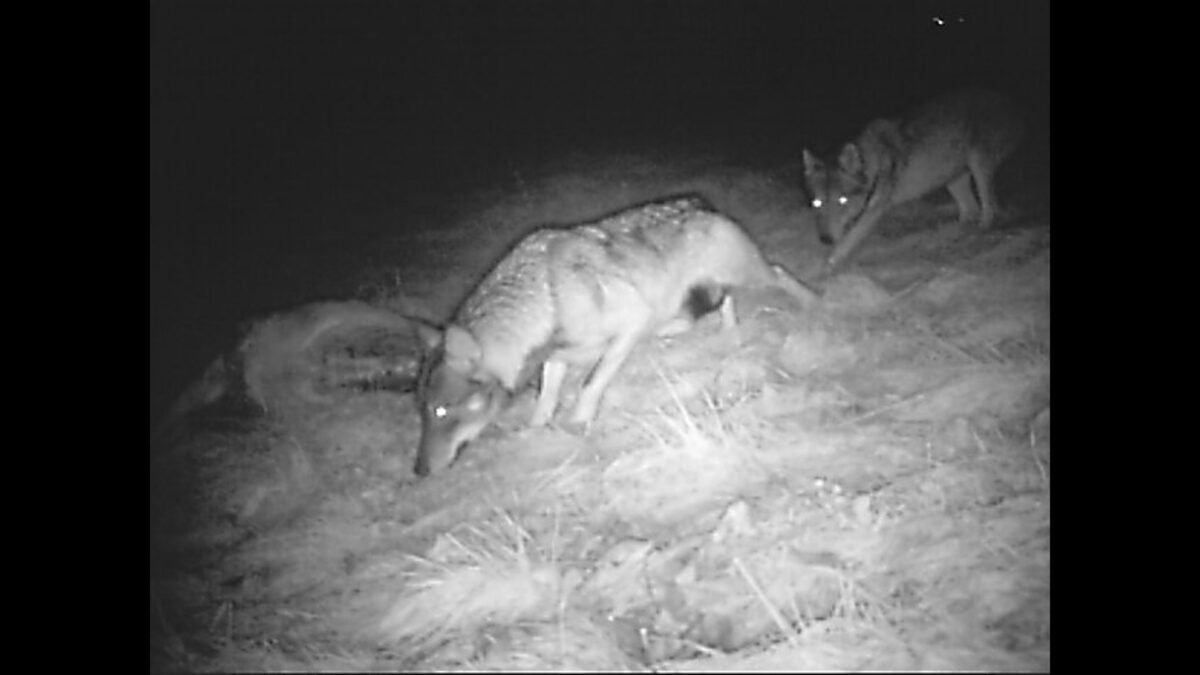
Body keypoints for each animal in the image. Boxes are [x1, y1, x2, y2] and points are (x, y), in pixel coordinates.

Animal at [417, 193, 820, 473]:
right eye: (424, 413)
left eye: (441, 411)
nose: (419, 471)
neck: (546, 298)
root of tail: (700, 202)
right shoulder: (557, 356)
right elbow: (545, 400)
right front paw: (535, 431)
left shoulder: (630, 326)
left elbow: (590, 384)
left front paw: (579, 422)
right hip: (696, 294)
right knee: (719, 305)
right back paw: (726, 333)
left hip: (747, 276)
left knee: (779, 274)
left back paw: (815, 301)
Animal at [801, 86, 1027, 270]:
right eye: (817, 202)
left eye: (842, 200)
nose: (825, 239)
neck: (874, 163)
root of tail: (1008, 101)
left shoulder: (875, 211)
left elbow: (848, 240)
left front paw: (828, 264)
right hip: (951, 179)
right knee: (970, 209)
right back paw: (951, 231)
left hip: (978, 168)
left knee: (988, 209)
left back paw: (980, 230)